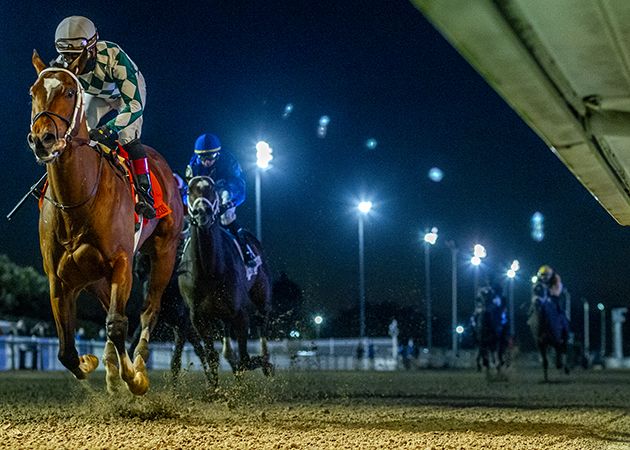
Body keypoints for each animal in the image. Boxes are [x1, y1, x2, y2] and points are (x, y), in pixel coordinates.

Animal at [28, 50, 184, 394]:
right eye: (33, 92)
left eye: (69, 92)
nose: (43, 138)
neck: (78, 200)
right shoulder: (58, 279)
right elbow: (66, 351)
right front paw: (92, 364)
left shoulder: (121, 263)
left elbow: (116, 325)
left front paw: (135, 379)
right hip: (95, 276)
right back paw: (112, 371)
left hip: (164, 251)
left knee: (148, 311)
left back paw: (138, 364)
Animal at [180, 176, 274, 386]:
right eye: (189, 190)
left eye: (213, 189)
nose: (202, 212)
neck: (209, 270)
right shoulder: (198, 318)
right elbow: (212, 355)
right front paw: (215, 389)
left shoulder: (240, 313)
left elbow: (245, 358)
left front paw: (259, 365)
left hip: (261, 293)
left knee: (262, 320)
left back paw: (265, 361)